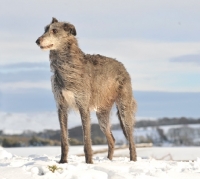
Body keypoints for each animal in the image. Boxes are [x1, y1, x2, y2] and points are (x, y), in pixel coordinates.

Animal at [35, 17, 137, 164]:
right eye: (45, 30)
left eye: (54, 30)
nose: (37, 41)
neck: (67, 66)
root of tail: (122, 66)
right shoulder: (61, 107)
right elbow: (64, 139)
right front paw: (63, 161)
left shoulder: (83, 106)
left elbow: (87, 140)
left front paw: (89, 162)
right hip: (102, 115)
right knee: (112, 139)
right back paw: (108, 161)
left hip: (124, 109)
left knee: (131, 139)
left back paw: (133, 160)